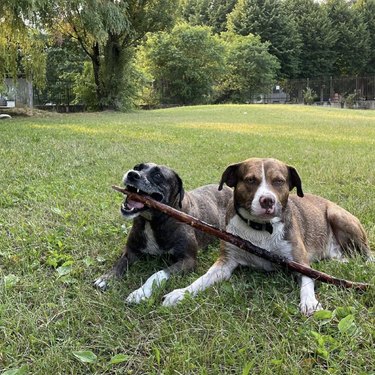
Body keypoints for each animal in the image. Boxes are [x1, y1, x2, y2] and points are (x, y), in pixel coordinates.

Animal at [94, 163, 232, 304]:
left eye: (158, 175)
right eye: (137, 167)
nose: (132, 174)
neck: (153, 221)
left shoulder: (188, 260)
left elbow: (157, 274)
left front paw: (140, 292)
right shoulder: (131, 250)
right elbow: (121, 262)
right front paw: (107, 278)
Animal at [164, 157, 374, 316]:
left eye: (279, 181)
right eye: (250, 180)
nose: (267, 200)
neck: (262, 229)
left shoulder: (299, 261)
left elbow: (308, 280)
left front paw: (309, 301)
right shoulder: (225, 262)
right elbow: (203, 278)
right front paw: (181, 293)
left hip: (338, 216)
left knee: (367, 250)